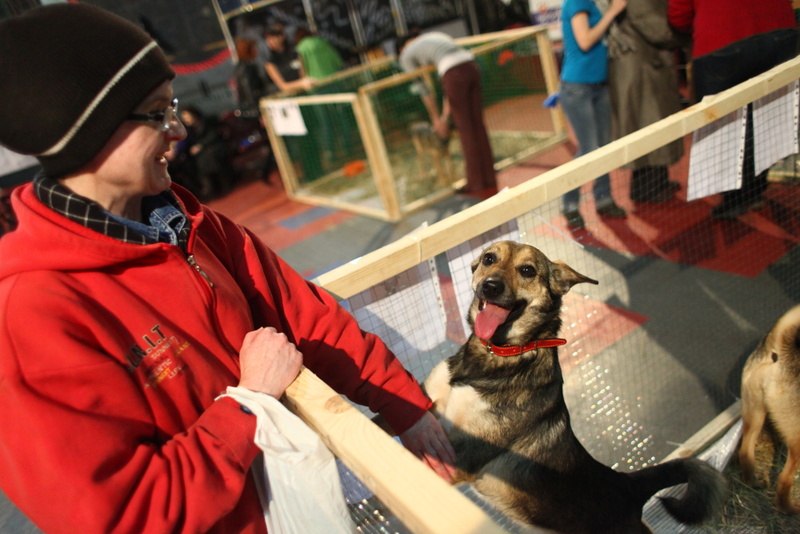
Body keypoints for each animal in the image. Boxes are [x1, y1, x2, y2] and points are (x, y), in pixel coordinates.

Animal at [424, 244, 724, 534]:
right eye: (489, 258)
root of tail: (628, 485)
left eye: (527, 270)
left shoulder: (456, 458)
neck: (494, 356)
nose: (491, 286)